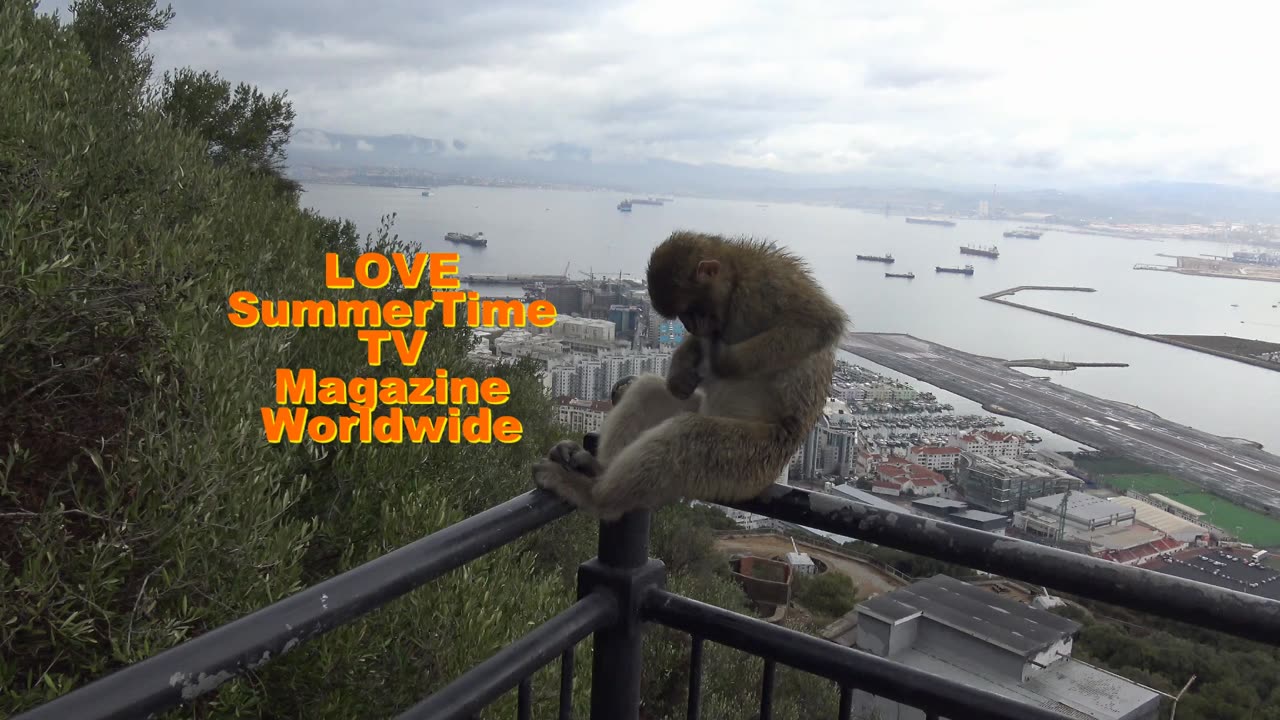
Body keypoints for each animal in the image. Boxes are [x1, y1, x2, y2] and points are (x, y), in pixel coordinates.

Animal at [532, 230, 849, 522]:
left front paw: (720, 361)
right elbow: (676, 380)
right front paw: (681, 371)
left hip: (748, 460)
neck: (735, 278)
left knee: (689, 436)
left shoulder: (765, 285)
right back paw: (597, 467)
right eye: (683, 316)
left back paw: (595, 497)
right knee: (649, 392)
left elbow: (821, 323)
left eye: (691, 309)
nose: (691, 325)